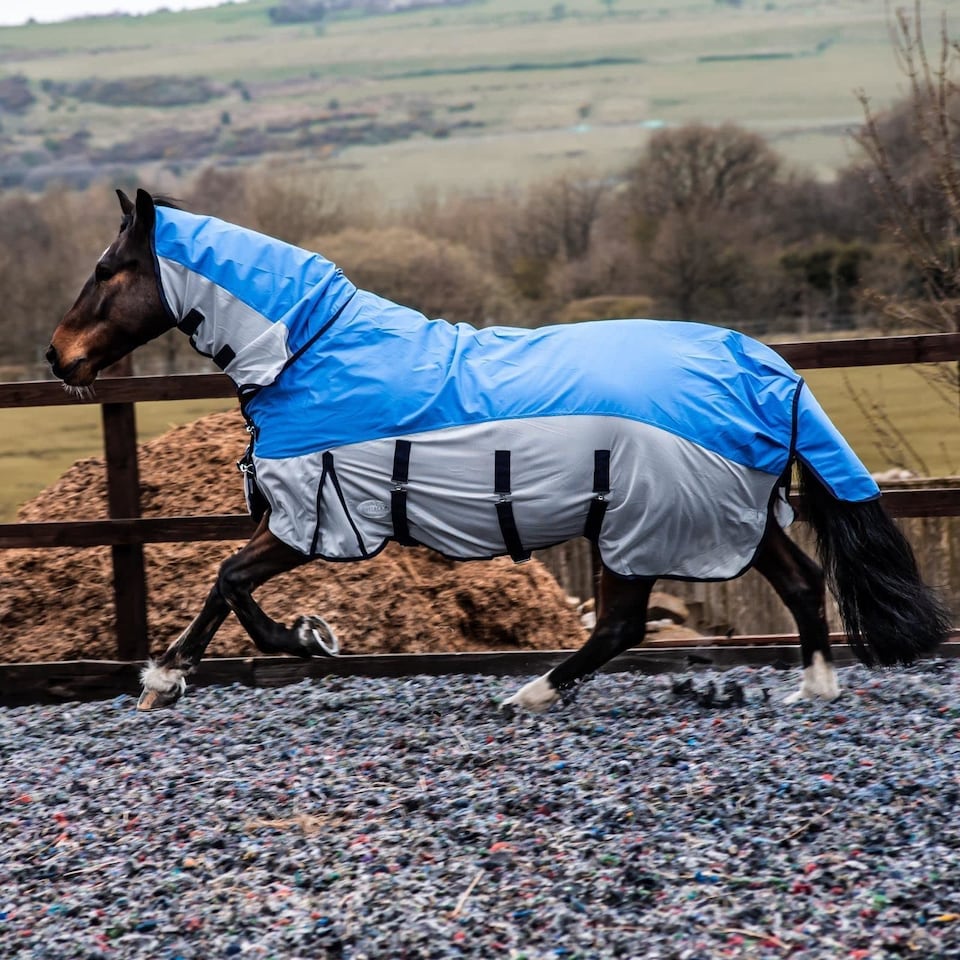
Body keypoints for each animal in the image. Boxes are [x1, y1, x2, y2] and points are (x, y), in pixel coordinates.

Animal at [47, 188, 951, 713]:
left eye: (106, 267)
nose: (56, 358)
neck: (307, 349)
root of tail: (763, 367)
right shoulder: (307, 516)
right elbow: (224, 583)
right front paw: (202, 667)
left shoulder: (317, 515)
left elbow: (230, 580)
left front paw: (281, 645)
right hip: (724, 515)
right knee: (796, 582)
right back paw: (813, 686)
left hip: (645, 523)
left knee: (623, 623)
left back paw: (533, 693)